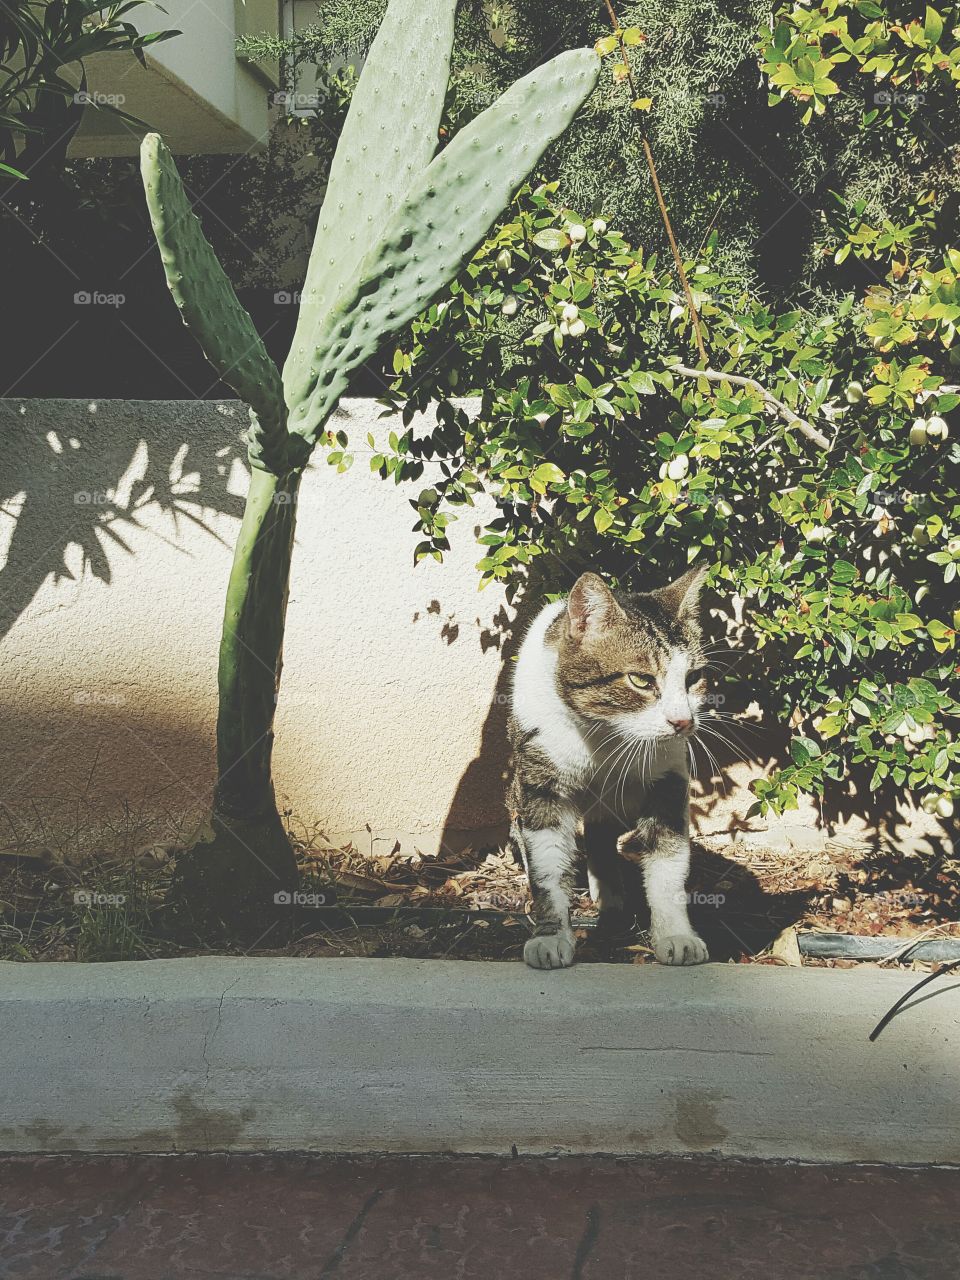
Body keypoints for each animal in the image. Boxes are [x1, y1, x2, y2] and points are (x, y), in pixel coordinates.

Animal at [506, 570, 711, 967]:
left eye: (693, 679)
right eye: (641, 680)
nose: (683, 722)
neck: (605, 736)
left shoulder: (669, 779)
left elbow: (668, 864)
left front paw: (676, 935)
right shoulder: (541, 782)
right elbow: (547, 864)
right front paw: (551, 938)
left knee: (601, 832)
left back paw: (609, 893)